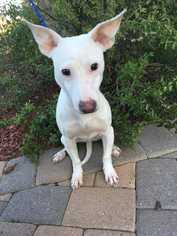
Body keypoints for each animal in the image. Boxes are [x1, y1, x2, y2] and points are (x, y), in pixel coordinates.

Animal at [25, 9, 126, 189]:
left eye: (94, 66)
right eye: (65, 71)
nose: (88, 107)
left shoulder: (107, 131)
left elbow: (105, 156)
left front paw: (109, 172)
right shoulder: (69, 139)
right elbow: (76, 160)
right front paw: (77, 176)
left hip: (108, 131)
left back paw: (114, 148)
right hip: (64, 138)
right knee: (65, 146)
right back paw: (60, 154)